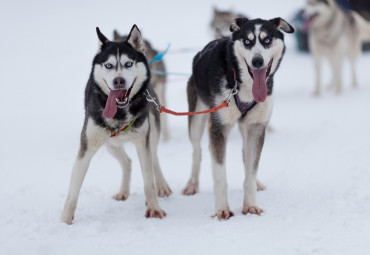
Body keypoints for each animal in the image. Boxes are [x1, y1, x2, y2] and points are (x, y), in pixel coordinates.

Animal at [60, 24, 171, 224]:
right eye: (109, 65)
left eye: (128, 64)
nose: (118, 80)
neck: (119, 113)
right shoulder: (86, 147)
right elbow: (73, 190)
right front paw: (65, 221)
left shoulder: (142, 143)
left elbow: (148, 181)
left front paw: (154, 208)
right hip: (110, 144)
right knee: (127, 162)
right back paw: (123, 192)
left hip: (151, 135)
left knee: (154, 160)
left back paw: (162, 185)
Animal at [181, 17, 292, 219]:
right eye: (247, 41)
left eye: (267, 40)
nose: (257, 61)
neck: (241, 84)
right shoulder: (218, 127)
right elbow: (219, 175)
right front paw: (221, 209)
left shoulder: (257, 127)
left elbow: (251, 171)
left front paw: (250, 205)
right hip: (196, 119)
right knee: (197, 151)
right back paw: (192, 184)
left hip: (245, 127)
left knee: (245, 154)